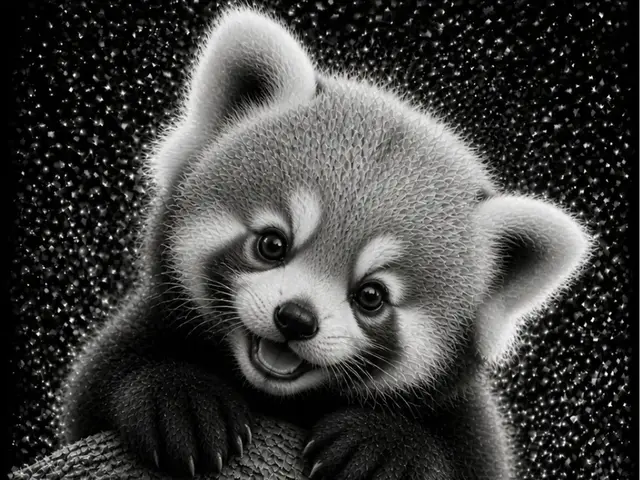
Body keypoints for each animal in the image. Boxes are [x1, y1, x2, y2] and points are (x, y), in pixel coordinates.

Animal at [59, 6, 592, 480]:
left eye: (372, 296)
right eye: (272, 244)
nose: (296, 319)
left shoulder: (468, 420)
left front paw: (382, 446)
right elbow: (101, 387)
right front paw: (180, 400)